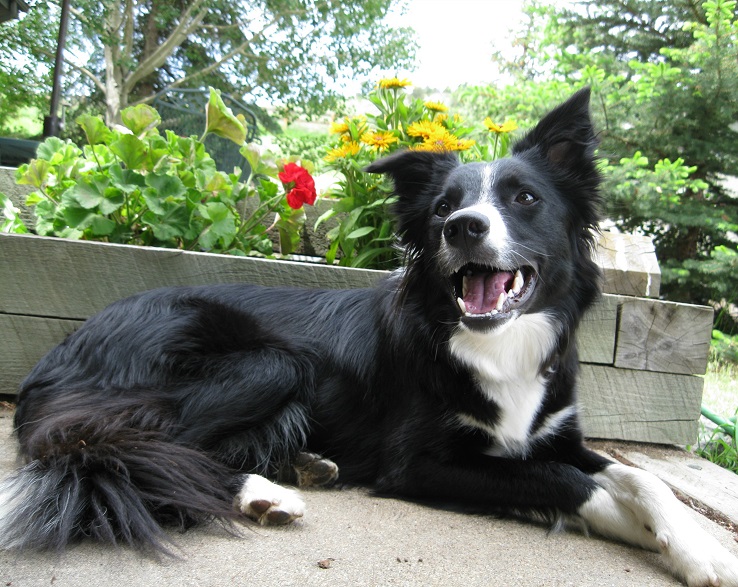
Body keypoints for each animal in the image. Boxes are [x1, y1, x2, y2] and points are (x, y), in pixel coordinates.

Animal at [1, 89, 736, 584]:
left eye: (525, 198)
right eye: (442, 208)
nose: (462, 227)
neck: (494, 345)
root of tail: (63, 349)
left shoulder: (554, 433)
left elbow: (641, 480)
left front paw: (699, 546)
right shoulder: (420, 462)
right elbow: (568, 482)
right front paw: (658, 536)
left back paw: (298, 468)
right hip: (269, 363)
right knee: (122, 449)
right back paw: (264, 492)